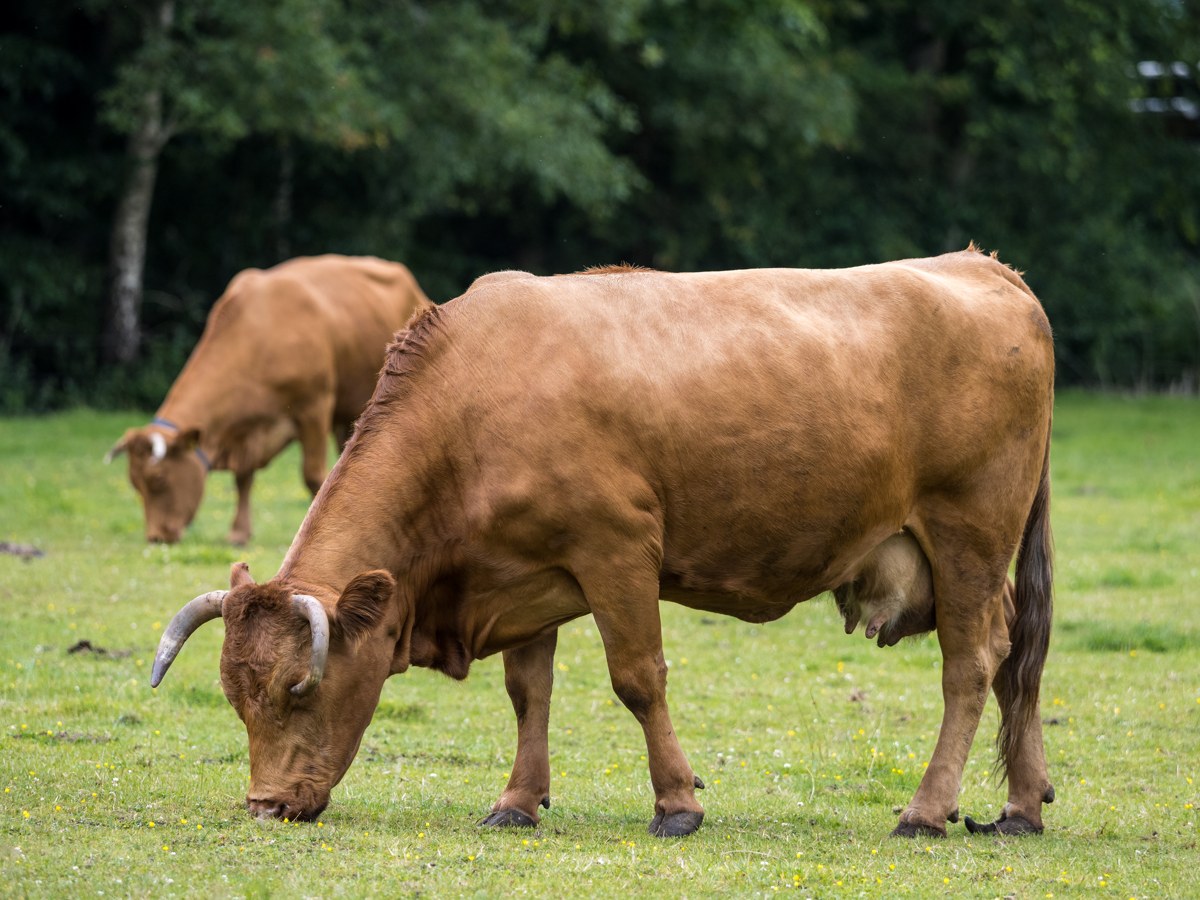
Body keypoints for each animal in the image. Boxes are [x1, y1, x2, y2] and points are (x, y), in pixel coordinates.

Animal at [106, 255, 432, 545]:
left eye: (158, 480)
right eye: (135, 484)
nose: (156, 537)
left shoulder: (314, 408)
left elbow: (313, 476)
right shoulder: (244, 432)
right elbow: (243, 479)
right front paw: (239, 533)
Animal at [150, 246, 1055, 839]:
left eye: (300, 689)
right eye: (236, 697)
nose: (266, 805)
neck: (472, 403)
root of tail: (985, 267)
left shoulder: (617, 550)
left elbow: (638, 679)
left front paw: (677, 804)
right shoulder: (519, 568)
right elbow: (529, 692)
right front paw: (517, 801)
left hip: (968, 536)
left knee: (971, 665)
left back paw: (926, 810)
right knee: (1017, 655)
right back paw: (1018, 805)